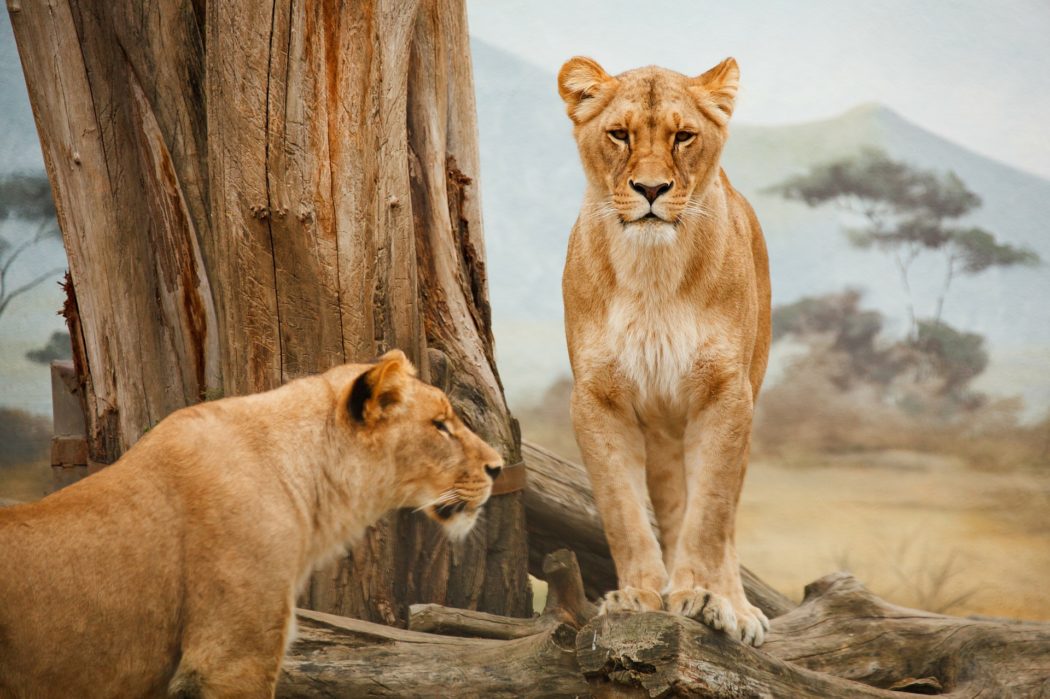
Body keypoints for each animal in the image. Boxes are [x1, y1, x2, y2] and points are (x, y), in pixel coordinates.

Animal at [558, 56, 772, 646]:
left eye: (683, 136)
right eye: (619, 134)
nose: (651, 189)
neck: (652, 271)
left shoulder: (725, 395)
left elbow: (711, 515)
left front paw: (701, 596)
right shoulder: (597, 399)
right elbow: (622, 510)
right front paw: (637, 594)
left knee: (725, 518)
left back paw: (736, 607)